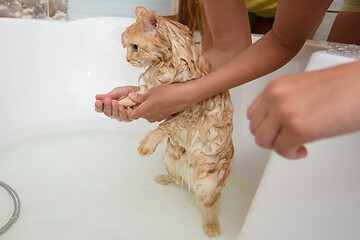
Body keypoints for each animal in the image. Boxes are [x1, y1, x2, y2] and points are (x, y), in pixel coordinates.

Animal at [119, 6, 235, 237]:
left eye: (135, 47)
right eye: (125, 45)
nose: (127, 60)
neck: (164, 65)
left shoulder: (188, 108)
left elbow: (164, 126)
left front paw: (147, 143)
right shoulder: (151, 87)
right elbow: (139, 93)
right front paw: (121, 101)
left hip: (207, 185)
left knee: (208, 205)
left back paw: (212, 228)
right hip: (171, 160)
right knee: (178, 179)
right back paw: (164, 179)